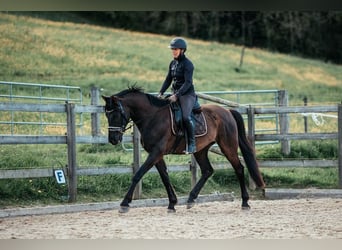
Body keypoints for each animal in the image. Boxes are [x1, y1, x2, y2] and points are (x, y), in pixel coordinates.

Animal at [103, 86, 266, 213]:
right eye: (106, 114)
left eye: (117, 113)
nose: (113, 139)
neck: (153, 117)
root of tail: (227, 112)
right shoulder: (156, 154)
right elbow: (165, 176)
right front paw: (172, 204)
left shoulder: (156, 152)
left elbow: (138, 174)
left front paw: (125, 203)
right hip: (201, 150)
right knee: (207, 170)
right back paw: (191, 199)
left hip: (228, 146)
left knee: (239, 168)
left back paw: (245, 202)